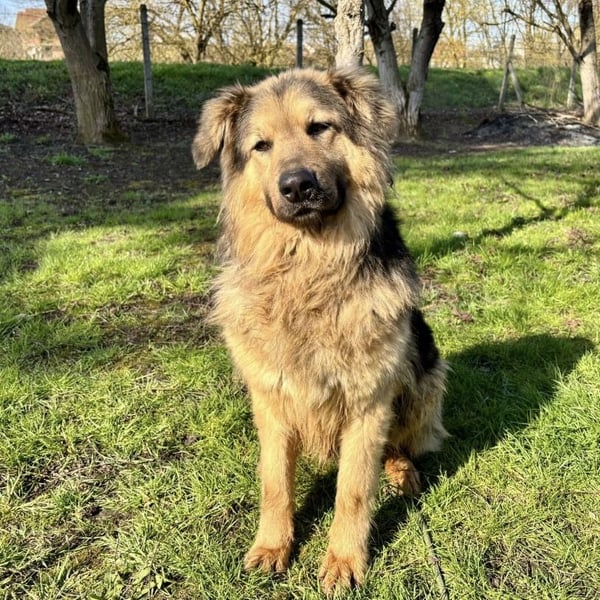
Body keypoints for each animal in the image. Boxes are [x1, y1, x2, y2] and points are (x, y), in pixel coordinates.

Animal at [192, 67, 447, 593]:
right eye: (261, 145)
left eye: (319, 128)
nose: (297, 186)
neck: (309, 270)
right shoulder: (270, 399)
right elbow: (274, 483)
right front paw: (273, 546)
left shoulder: (369, 403)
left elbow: (353, 489)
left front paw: (344, 560)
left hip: (425, 378)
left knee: (402, 445)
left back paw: (402, 471)